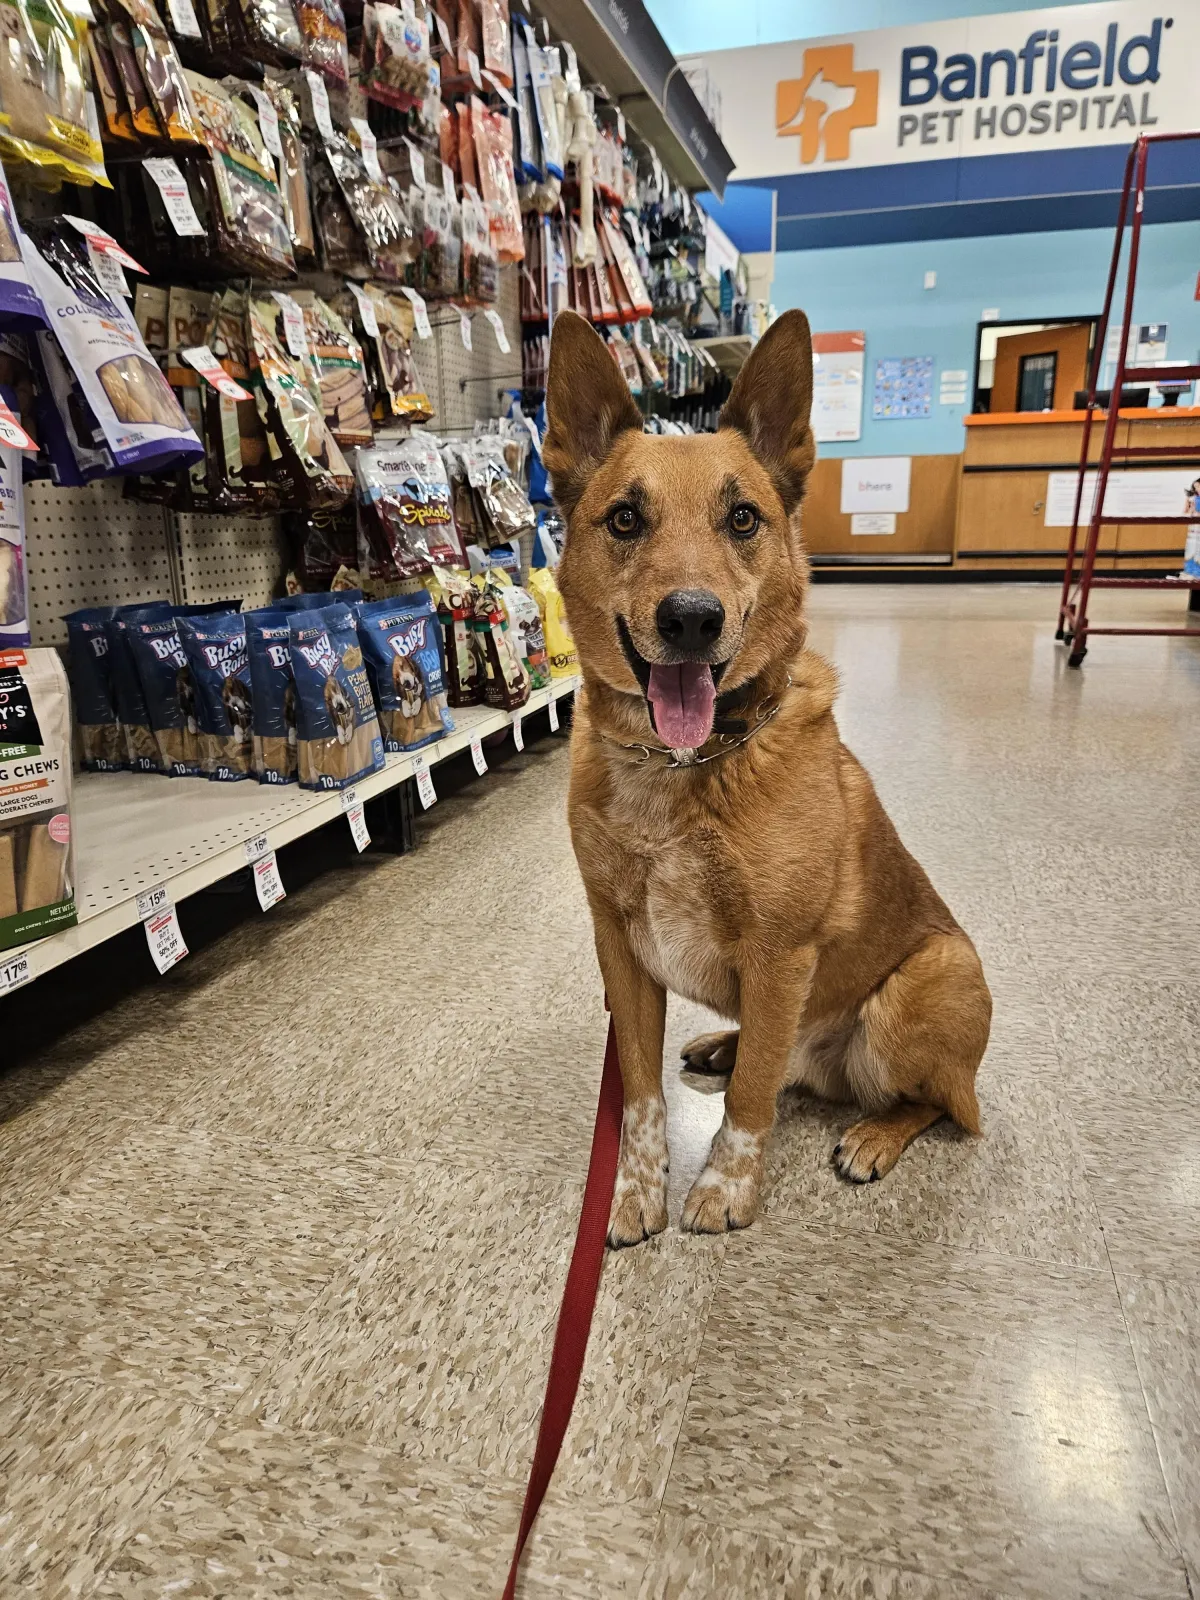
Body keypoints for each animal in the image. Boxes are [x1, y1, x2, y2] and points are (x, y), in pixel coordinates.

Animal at [547, 305, 998, 1241]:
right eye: (625, 520)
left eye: (744, 519)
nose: (690, 619)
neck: (683, 766)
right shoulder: (622, 953)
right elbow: (641, 1093)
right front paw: (637, 1186)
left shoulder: (782, 954)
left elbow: (753, 1097)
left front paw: (725, 1184)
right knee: (776, 1049)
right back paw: (725, 1043)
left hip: (923, 983)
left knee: (930, 1102)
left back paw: (873, 1133)